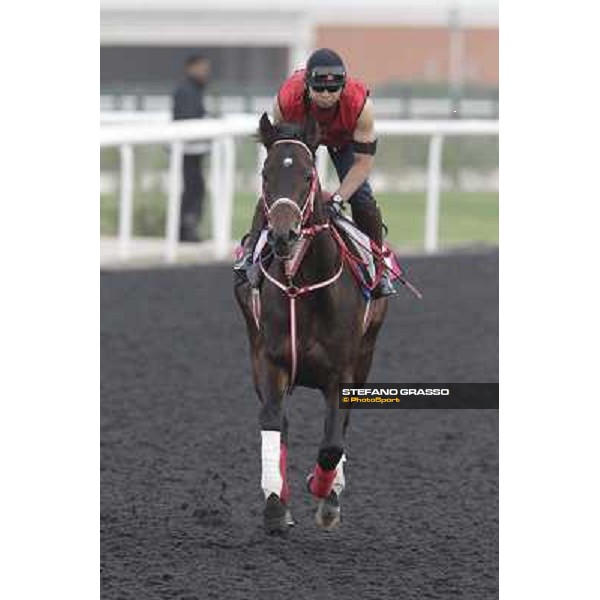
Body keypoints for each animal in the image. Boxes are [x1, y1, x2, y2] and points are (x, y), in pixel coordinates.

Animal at [234, 112, 390, 536]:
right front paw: (275, 504)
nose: (283, 234)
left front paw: (325, 495)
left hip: (367, 354)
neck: (302, 284)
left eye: (307, 175)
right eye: (265, 173)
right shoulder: (269, 360)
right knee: (281, 422)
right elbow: (273, 421)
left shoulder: (343, 372)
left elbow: (333, 442)